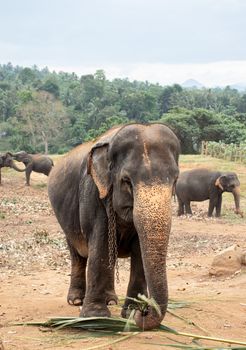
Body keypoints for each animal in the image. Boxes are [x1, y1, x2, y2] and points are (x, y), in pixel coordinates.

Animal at [48, 123, 180, 330]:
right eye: (126, 181)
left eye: (175, 180)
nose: (144, 311)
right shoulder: (93, 192)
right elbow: (99, 246)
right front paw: (95, 317)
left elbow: (139, 251)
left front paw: (131, 312)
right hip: (65, 221)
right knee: (77, 255)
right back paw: (76, 301)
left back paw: (111, 300)